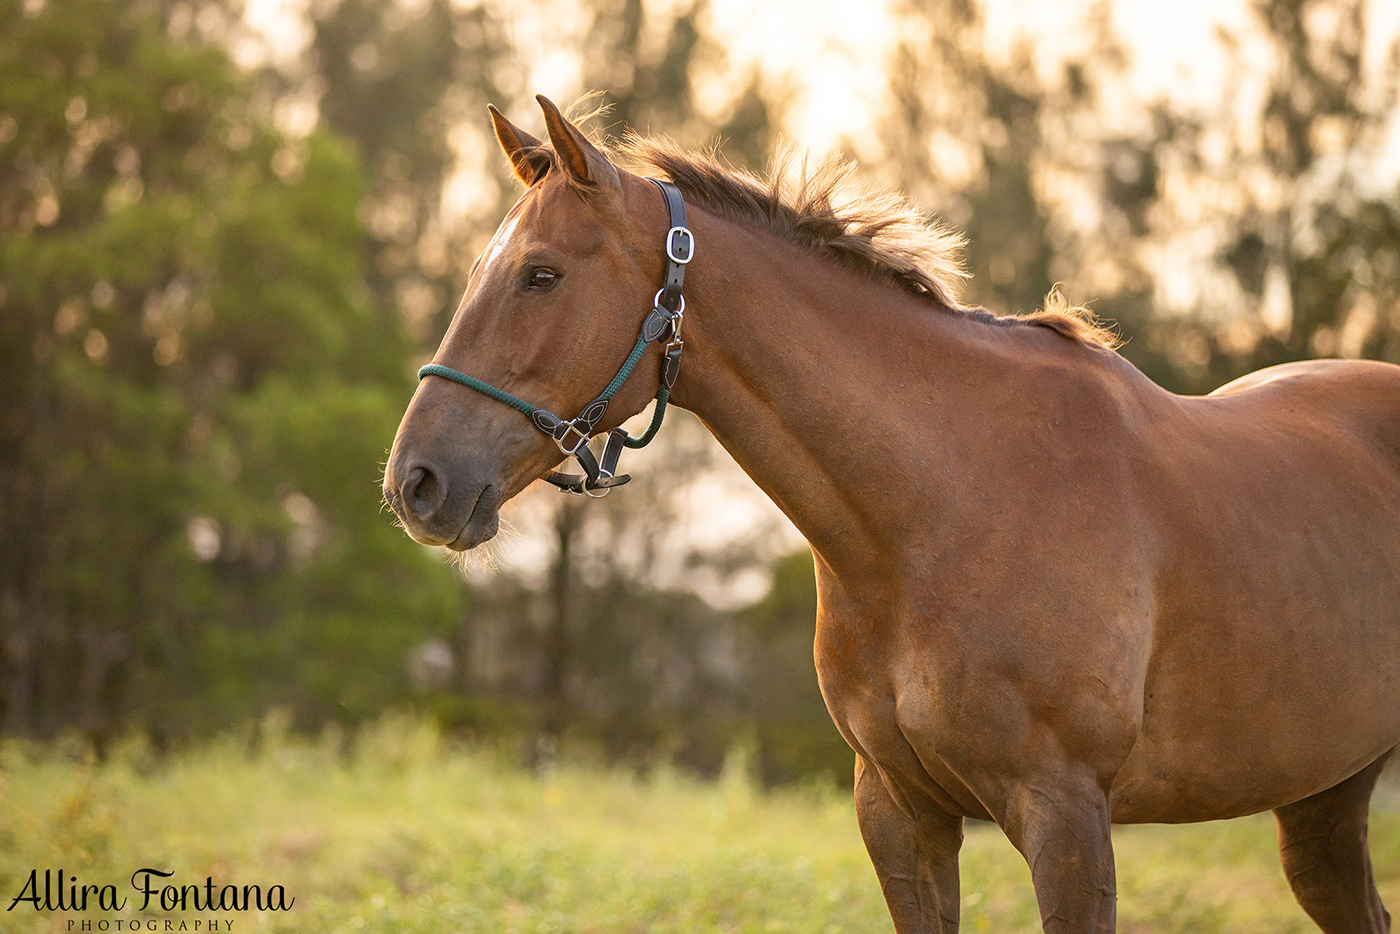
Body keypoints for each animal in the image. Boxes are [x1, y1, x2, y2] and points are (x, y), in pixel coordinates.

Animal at [383, 96, 1400, 934]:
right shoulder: (902, 813)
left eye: (541, 276)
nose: (416, 483)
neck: (944, 511)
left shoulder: (1067, 815)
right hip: (1324, 801)